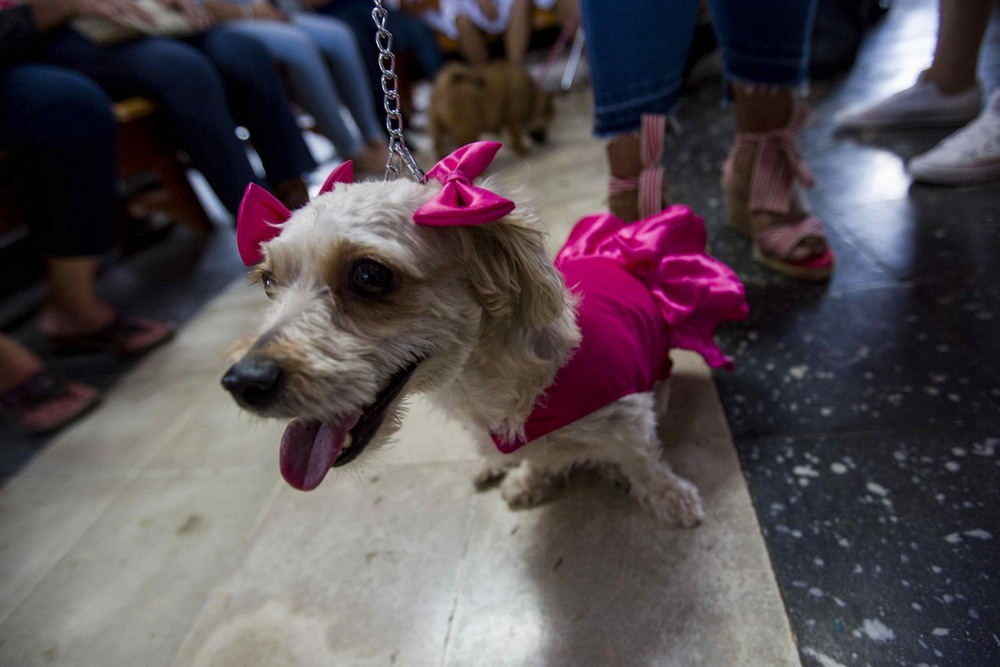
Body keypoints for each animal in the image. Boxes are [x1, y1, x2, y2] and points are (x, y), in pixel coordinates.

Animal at [223, 144, 748, 528]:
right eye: (268, 281)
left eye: (370, 276)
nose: (241, 382)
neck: (483, 381)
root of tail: (624, 255)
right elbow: (532, 455)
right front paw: (527, 477)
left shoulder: (631, 417)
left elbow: (645, 461)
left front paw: (667, 495)